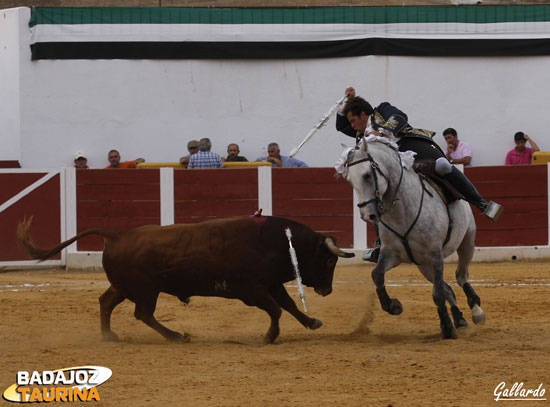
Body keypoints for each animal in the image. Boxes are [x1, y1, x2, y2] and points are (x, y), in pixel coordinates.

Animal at [17, 215, 356, 342]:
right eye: (329, 260)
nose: (327, 290)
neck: (277, 242)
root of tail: (117, 234)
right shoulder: (251, 289)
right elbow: (275, 309)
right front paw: (269, 336)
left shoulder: (270, 283)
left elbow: (289, 306)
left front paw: (312, 322)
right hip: (146, 290)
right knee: (143, 313)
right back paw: (177, 336)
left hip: (125, 287)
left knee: (107, 302)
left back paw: (110, 335)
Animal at [344, 139, 488, 340]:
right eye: (350, 179)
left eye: (367, 175)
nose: (367, 215)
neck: (401, 212)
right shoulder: (391, 253)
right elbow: (377, 275)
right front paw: (393, 306)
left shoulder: (435, 254)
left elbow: (437, 294)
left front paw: (447, 328)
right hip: (423, 265)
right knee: (447, 288)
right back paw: (459, 319)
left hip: (467, 241)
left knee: (460, 276)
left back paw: (476, 312)